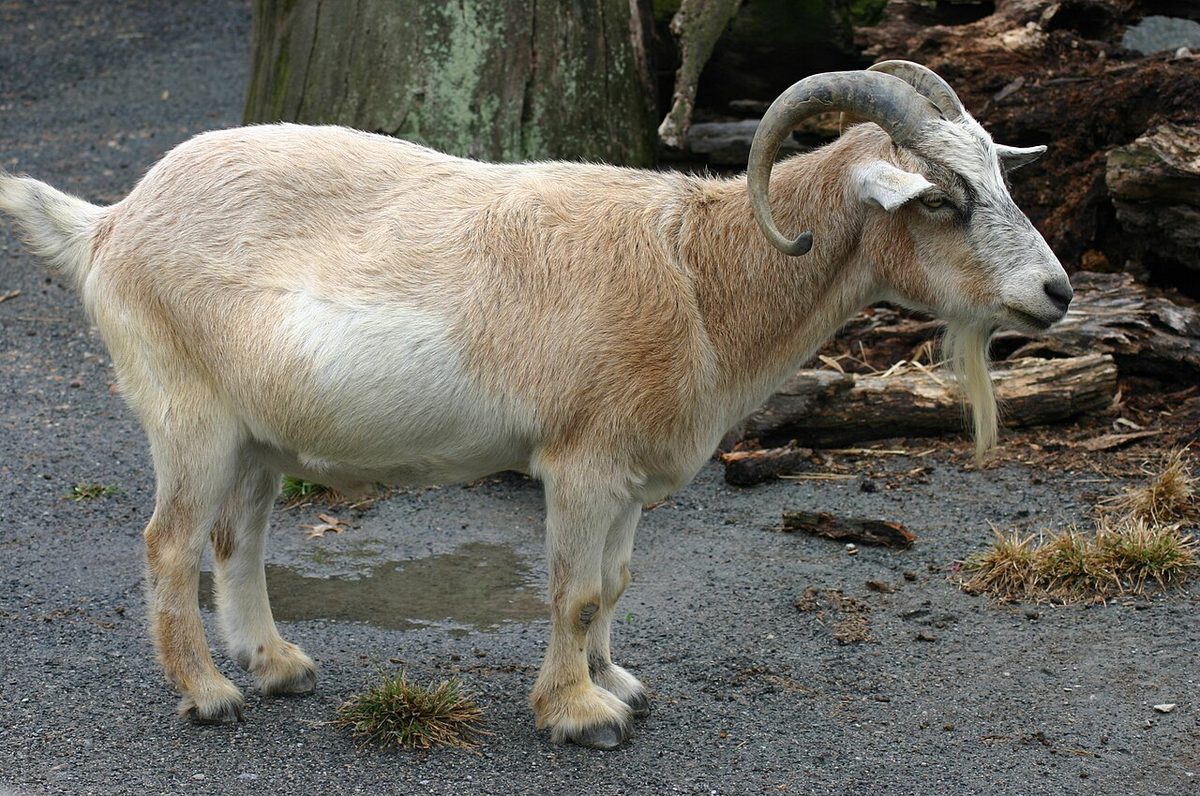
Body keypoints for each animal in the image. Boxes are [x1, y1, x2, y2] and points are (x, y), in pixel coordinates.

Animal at [0, 61, 1071, 749]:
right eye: (941, 197)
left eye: (998, 173)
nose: (1055, 292)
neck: (699, 273)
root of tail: (109, 224)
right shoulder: (581, 462)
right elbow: (576, 589)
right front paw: (579, 717)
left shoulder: (629, 476)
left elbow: (619, 582)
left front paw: (616, 682)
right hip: (189, 416)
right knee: (169, 543)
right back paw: (210, 693)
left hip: (259, 437)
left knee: (238, 540)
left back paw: (277, 665)